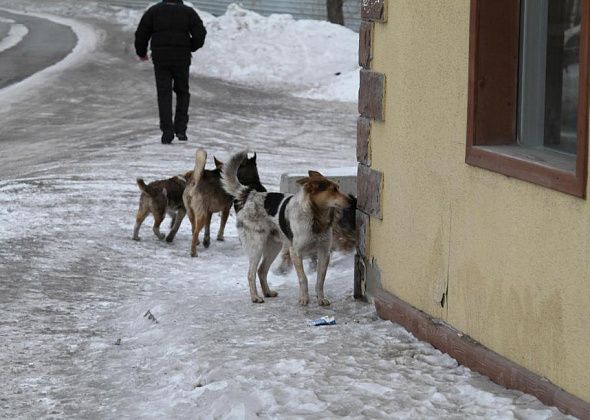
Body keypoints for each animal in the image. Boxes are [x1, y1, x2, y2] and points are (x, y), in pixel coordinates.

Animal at [222, 151, 352, 306]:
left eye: (337, 188)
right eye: (333, 190)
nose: (352, 200)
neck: (315, 217)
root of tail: (251, 194)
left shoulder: (324, 253)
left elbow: (320, 280)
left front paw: (321, 299)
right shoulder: (295, 252)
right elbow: (303, 278)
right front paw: (304, 298)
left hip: (274, 247)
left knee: (261, 270)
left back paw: (267, 292)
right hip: (256, 247)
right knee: (251, 273)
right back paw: (255, 297)